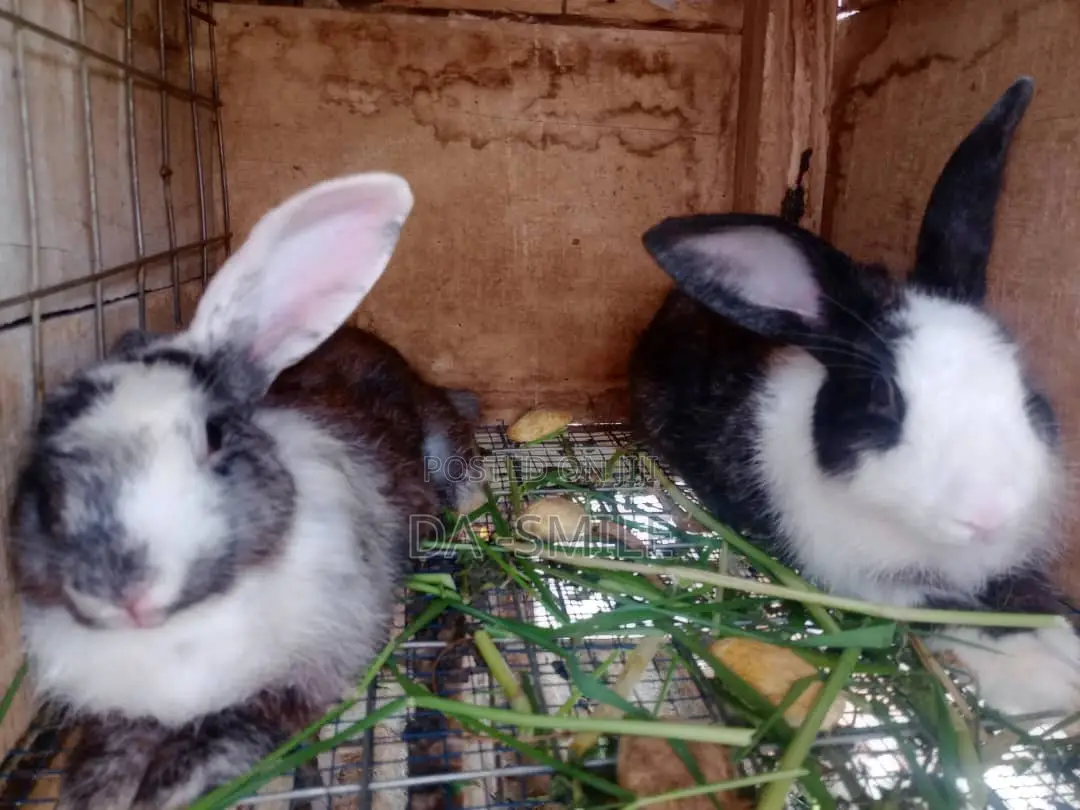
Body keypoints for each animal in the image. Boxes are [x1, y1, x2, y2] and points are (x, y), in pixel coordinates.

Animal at [6, 171, 484, 810]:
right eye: (44, 438)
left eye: (214, 435)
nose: (125, 590)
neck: (176, 633)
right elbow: (119, 739)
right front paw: (98, 788)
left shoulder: (296, 683)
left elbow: (231, 727)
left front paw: (169, 784)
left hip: (442, 446)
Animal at [628, 76, 1080, 718]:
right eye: (882, 398)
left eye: (1025, 386)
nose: (990, 513)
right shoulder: (868, 581)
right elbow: (948, 608)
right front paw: (1045, 673)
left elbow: (1022, 590)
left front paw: (1059, 639)